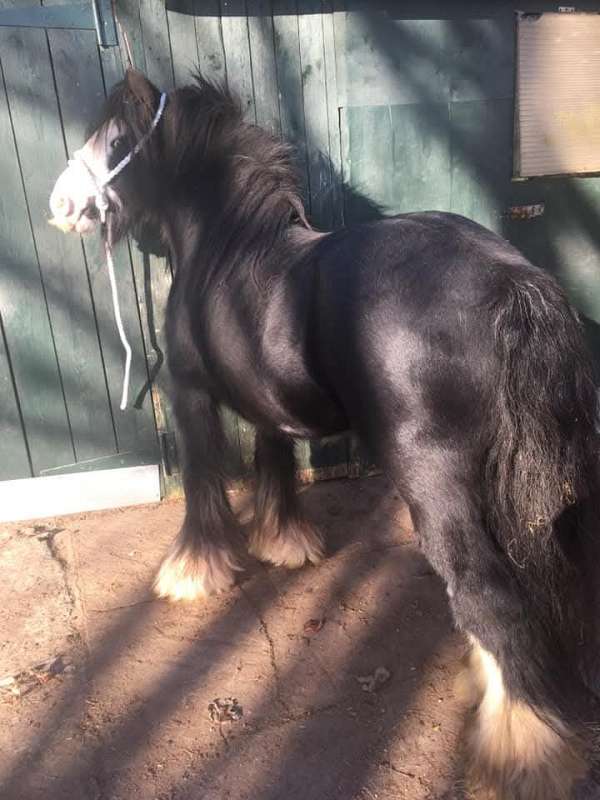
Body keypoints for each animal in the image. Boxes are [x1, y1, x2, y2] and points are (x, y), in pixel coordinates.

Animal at [49, 69, 600, 799]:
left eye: (115, 139)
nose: (61, 203)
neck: (227, 247)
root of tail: (513, 281)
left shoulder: (191, 397)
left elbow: (201, 483)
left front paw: (192, 573)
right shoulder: (268, 408)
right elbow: (275, 463)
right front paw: (284, 544)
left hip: (434, 482)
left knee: (485, 591)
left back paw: (520, 751)